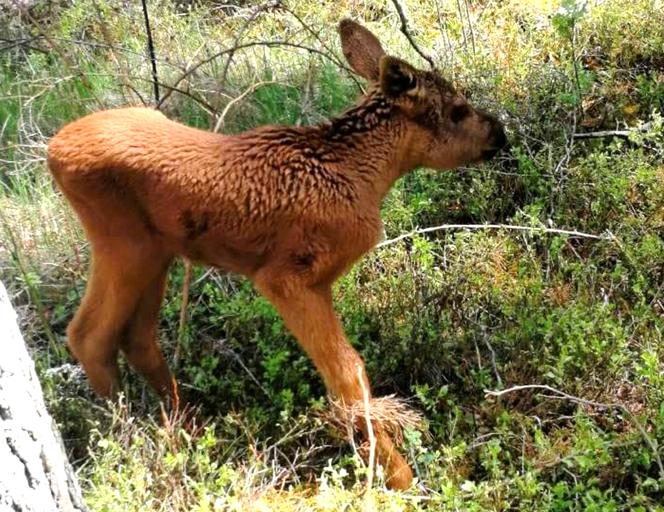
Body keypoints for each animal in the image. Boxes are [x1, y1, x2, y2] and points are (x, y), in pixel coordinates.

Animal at [46, 22, 506, 490]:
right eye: (457, 110)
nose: (500, 133)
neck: (361, 176)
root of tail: (52, 151)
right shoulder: (286, 276)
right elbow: (348, 373)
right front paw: (396, 475)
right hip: (123, 243)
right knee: (89, 335)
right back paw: (126, 440)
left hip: (157, 252)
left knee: (136, 336)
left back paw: (184, 430)